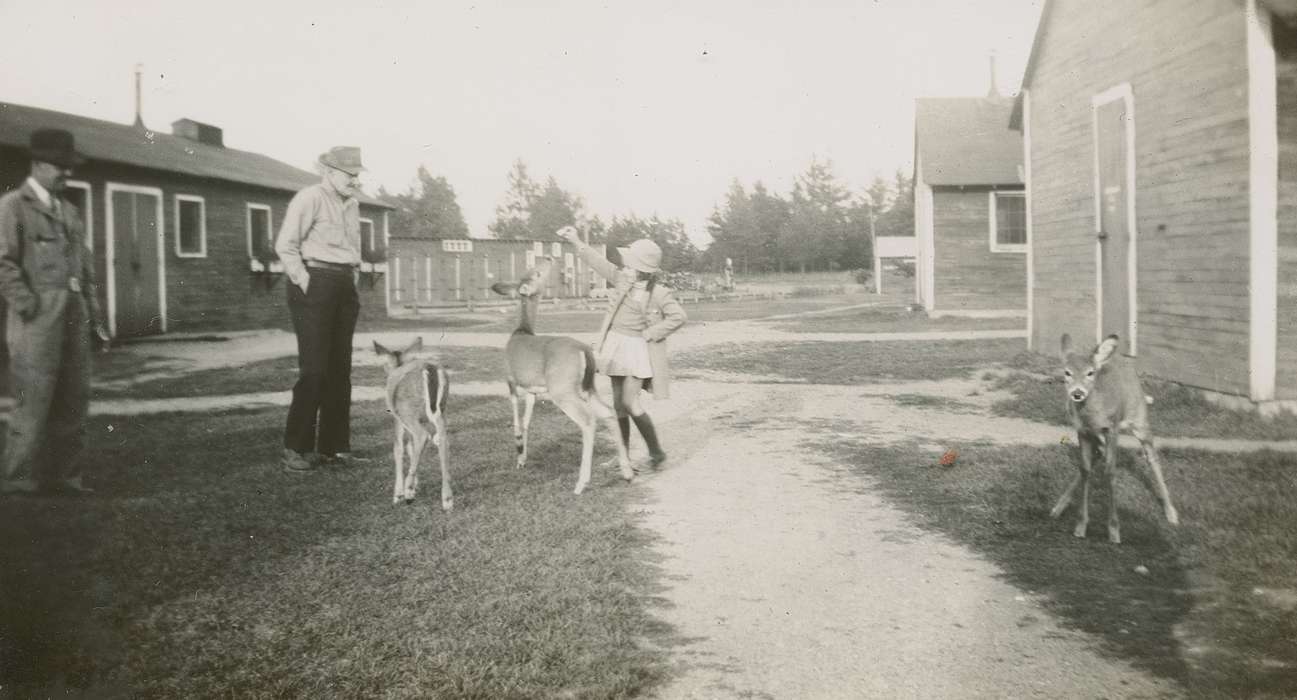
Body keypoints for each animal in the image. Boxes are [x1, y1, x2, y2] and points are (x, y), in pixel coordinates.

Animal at [373, 337, 453, 508]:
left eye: (385, 366)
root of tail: (429, 369)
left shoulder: (397, 418)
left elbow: (398, 448)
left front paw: (398, 494)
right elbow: (410, 447)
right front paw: (416, 485)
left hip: (407, 412)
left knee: (422, 436)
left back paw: (408, 491)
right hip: (441, 409)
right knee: (442, 440)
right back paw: (447, 498)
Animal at [487, 255, 635, 492]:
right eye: (535, 272)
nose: (547, 257)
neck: (521, 331)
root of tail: (584, 351)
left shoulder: (510, 379)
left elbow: (517, 421)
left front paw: (518, 450)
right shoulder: (532, 389)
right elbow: (527, 422)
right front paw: (522, 458)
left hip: (561, 388)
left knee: (588, 420)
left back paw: (581, 483)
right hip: (587, 386)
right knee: (608, 412)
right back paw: (627, 473)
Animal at [1047, 337, 1182, 544]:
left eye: (1090, 372)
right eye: (1067, 372)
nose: (1077, 393)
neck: (1094, 414)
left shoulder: (1112, 429)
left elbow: (1110, 472)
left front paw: (1114, 530)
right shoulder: (1083, 431)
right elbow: (1085, 469)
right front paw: (1080, 525)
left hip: (1140, 421)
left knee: (1152, 458)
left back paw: (1171, 512)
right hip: (1100, 438)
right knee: (1097, 457)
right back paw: (1058, 507)